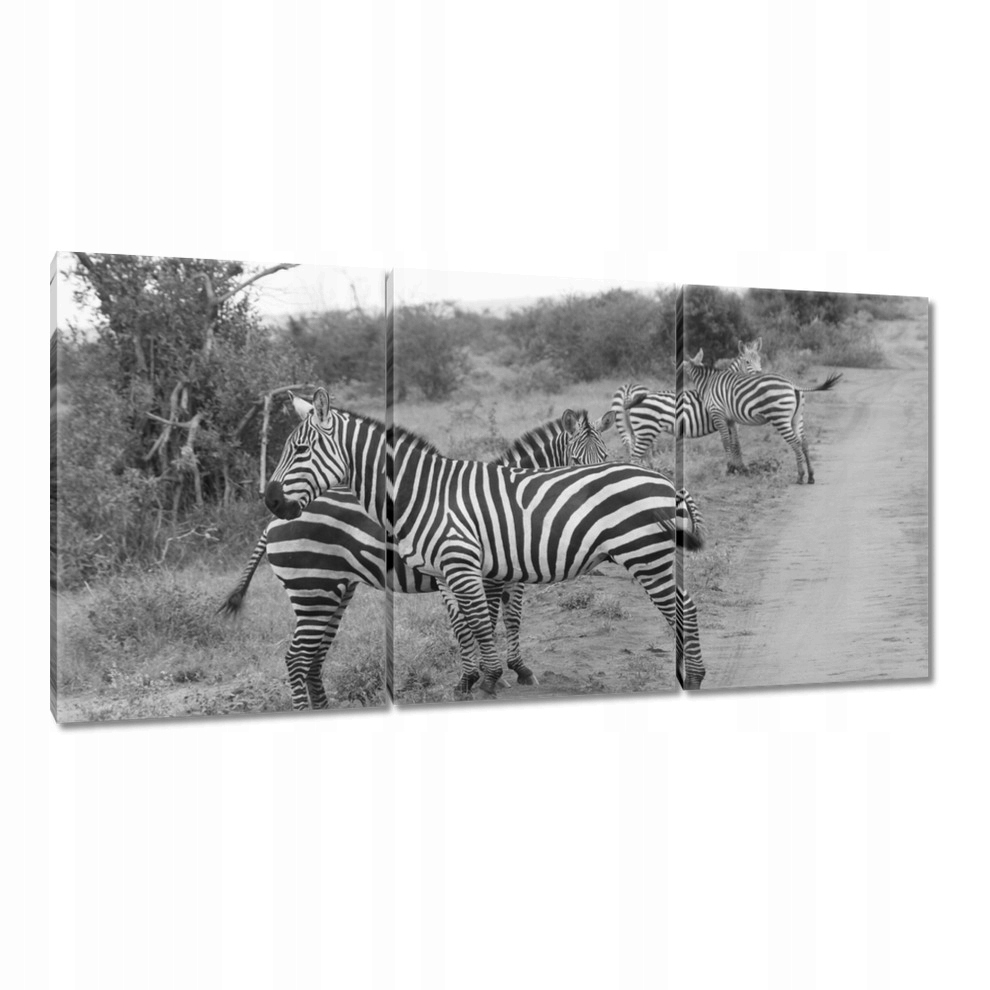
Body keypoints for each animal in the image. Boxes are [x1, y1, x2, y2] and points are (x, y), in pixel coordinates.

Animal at [219, 407, 615, 709]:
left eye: (607, 460)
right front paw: (484, 678)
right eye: (576, 462)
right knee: (298, 658)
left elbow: (509, 619)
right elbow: (480, 622)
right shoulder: (480, 574)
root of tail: (273, 520)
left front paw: (511, 670)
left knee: (313, 659)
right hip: (310, 588)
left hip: (333, 591)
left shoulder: (505, 574)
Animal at [612, 339, 765, 463]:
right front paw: (736, 468)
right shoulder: (728, 420)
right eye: (747, 362)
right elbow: (734, 444)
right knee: (637, 457)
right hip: (645, 430)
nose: (760, 375)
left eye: (760, 360)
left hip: (632, 430)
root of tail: (629, 392)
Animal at [684, 349, 843, 484]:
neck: (708, 382)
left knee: (795, 443)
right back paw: (810, 476)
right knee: (804, 443)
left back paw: (800, 476)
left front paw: (729, 468)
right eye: (747, 361)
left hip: (780, 418)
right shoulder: (731, 420)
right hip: (797, 418)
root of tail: (792, 384)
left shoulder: (718, 415)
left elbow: (726, 442)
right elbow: (735, 443)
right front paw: (736, 468)